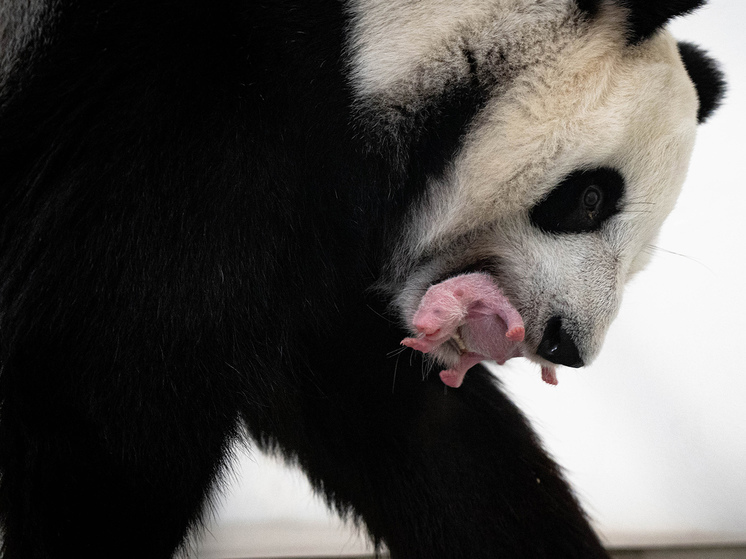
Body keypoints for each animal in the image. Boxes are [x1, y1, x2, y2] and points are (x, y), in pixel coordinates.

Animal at [0, 0, 724, 556]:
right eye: (591, 197)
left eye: (639, 261)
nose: (565, 344)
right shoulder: (188, 108)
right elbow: (112, 390)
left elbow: (400, 417)